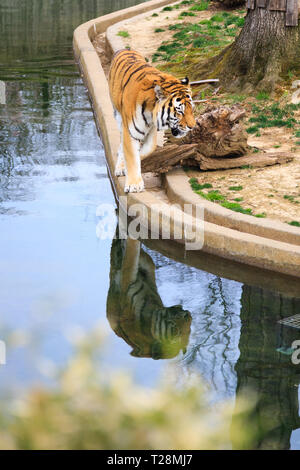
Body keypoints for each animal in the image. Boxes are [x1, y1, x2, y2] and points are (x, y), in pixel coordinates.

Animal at [109, 49, 196, 193]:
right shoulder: (130, 132)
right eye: (180, 111)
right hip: (118, 115)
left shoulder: (152, 130)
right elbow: (131, 155)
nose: (192, 127)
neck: (150, 114)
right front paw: (134, 185)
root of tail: (126, 49)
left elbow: (146, 150)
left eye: (192, 109)